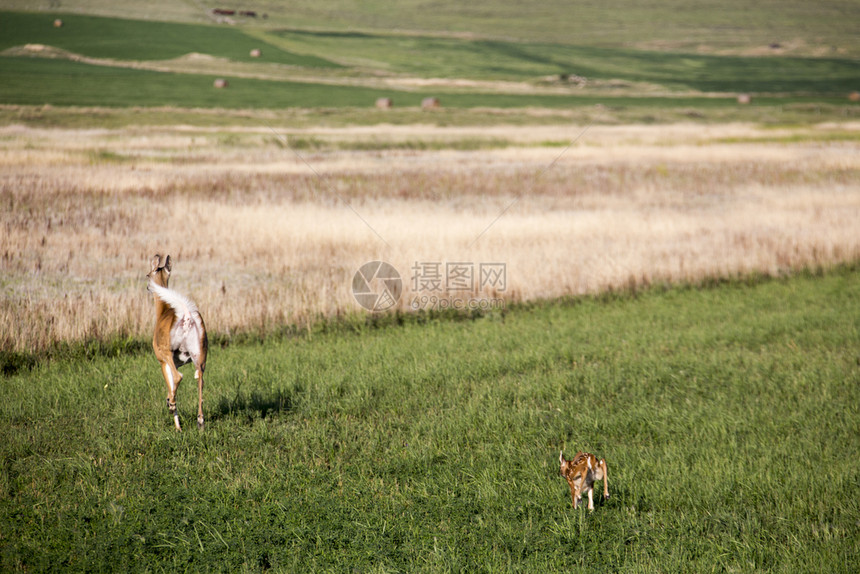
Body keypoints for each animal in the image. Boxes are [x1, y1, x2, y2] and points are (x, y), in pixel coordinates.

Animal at [147, 256, 207, 432]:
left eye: (147, 275)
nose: (148, 287)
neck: (163, 310)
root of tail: (186, 315)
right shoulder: (179, 361)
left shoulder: (162, 360)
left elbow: (170, 383)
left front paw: (177, 425)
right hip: (200, 355)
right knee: (200, 379)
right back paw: (200, 421)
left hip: (166, 352)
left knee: (178, 376)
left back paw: (172, 406)